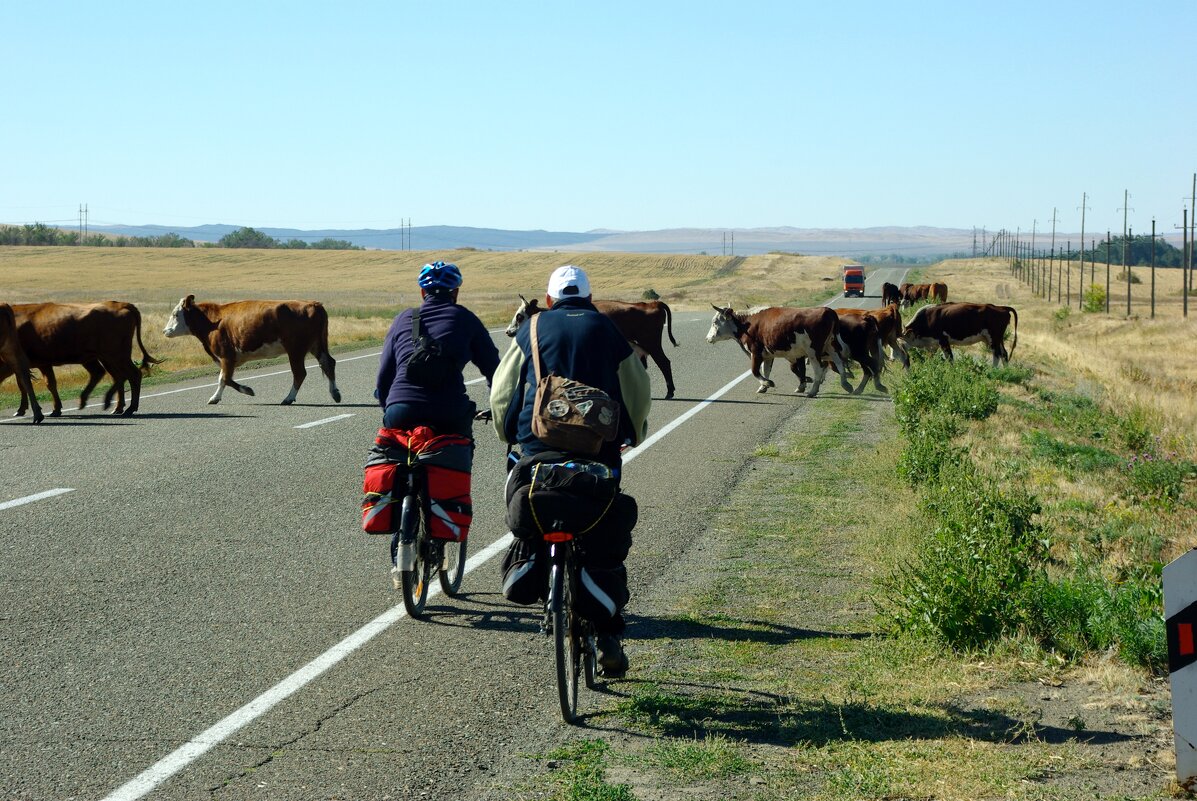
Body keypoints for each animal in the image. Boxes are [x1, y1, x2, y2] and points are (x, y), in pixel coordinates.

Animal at [0, 298, 159, 416]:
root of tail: (121, 304)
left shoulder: (37, 363)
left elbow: (35, 384)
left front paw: (24, 410)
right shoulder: (40, 364)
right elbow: (42, 384)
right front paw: (54, 409)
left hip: (116, 356)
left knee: (132, 375)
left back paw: (129, 408)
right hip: (103, 358)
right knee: (114, 375)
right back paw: (114, 406)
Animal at [161, 295, 339, 407]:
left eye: (175, 314)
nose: (165, 331)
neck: (212, 322)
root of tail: (314, 304)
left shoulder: (226, 355)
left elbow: (225, 379)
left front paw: (246, 391)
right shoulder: (228, 358)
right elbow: (224, 378)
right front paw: (217, 397)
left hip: (296, 350)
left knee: (300, 373)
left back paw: (288, 398)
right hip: (317, 345)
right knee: (328, 363)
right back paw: (335, 393)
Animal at [502, 293, 679, 397]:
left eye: (519, 316)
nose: (508, 331)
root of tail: (651, 304)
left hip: (652, 344)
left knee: (664, 363)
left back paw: (670, 391)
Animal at [703, 302, 857, 397]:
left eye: (715, 322)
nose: (707, 338)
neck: (747, 325)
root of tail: (827, 310)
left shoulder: (756, 352)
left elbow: (755, 371)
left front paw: (767, 383)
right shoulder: (768, 355)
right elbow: (766, 370)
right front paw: (763, 387)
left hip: (813, 351)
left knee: (819, 369)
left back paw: (813, 391)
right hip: (831, 346)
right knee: (839, 363)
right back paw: (846, 384)